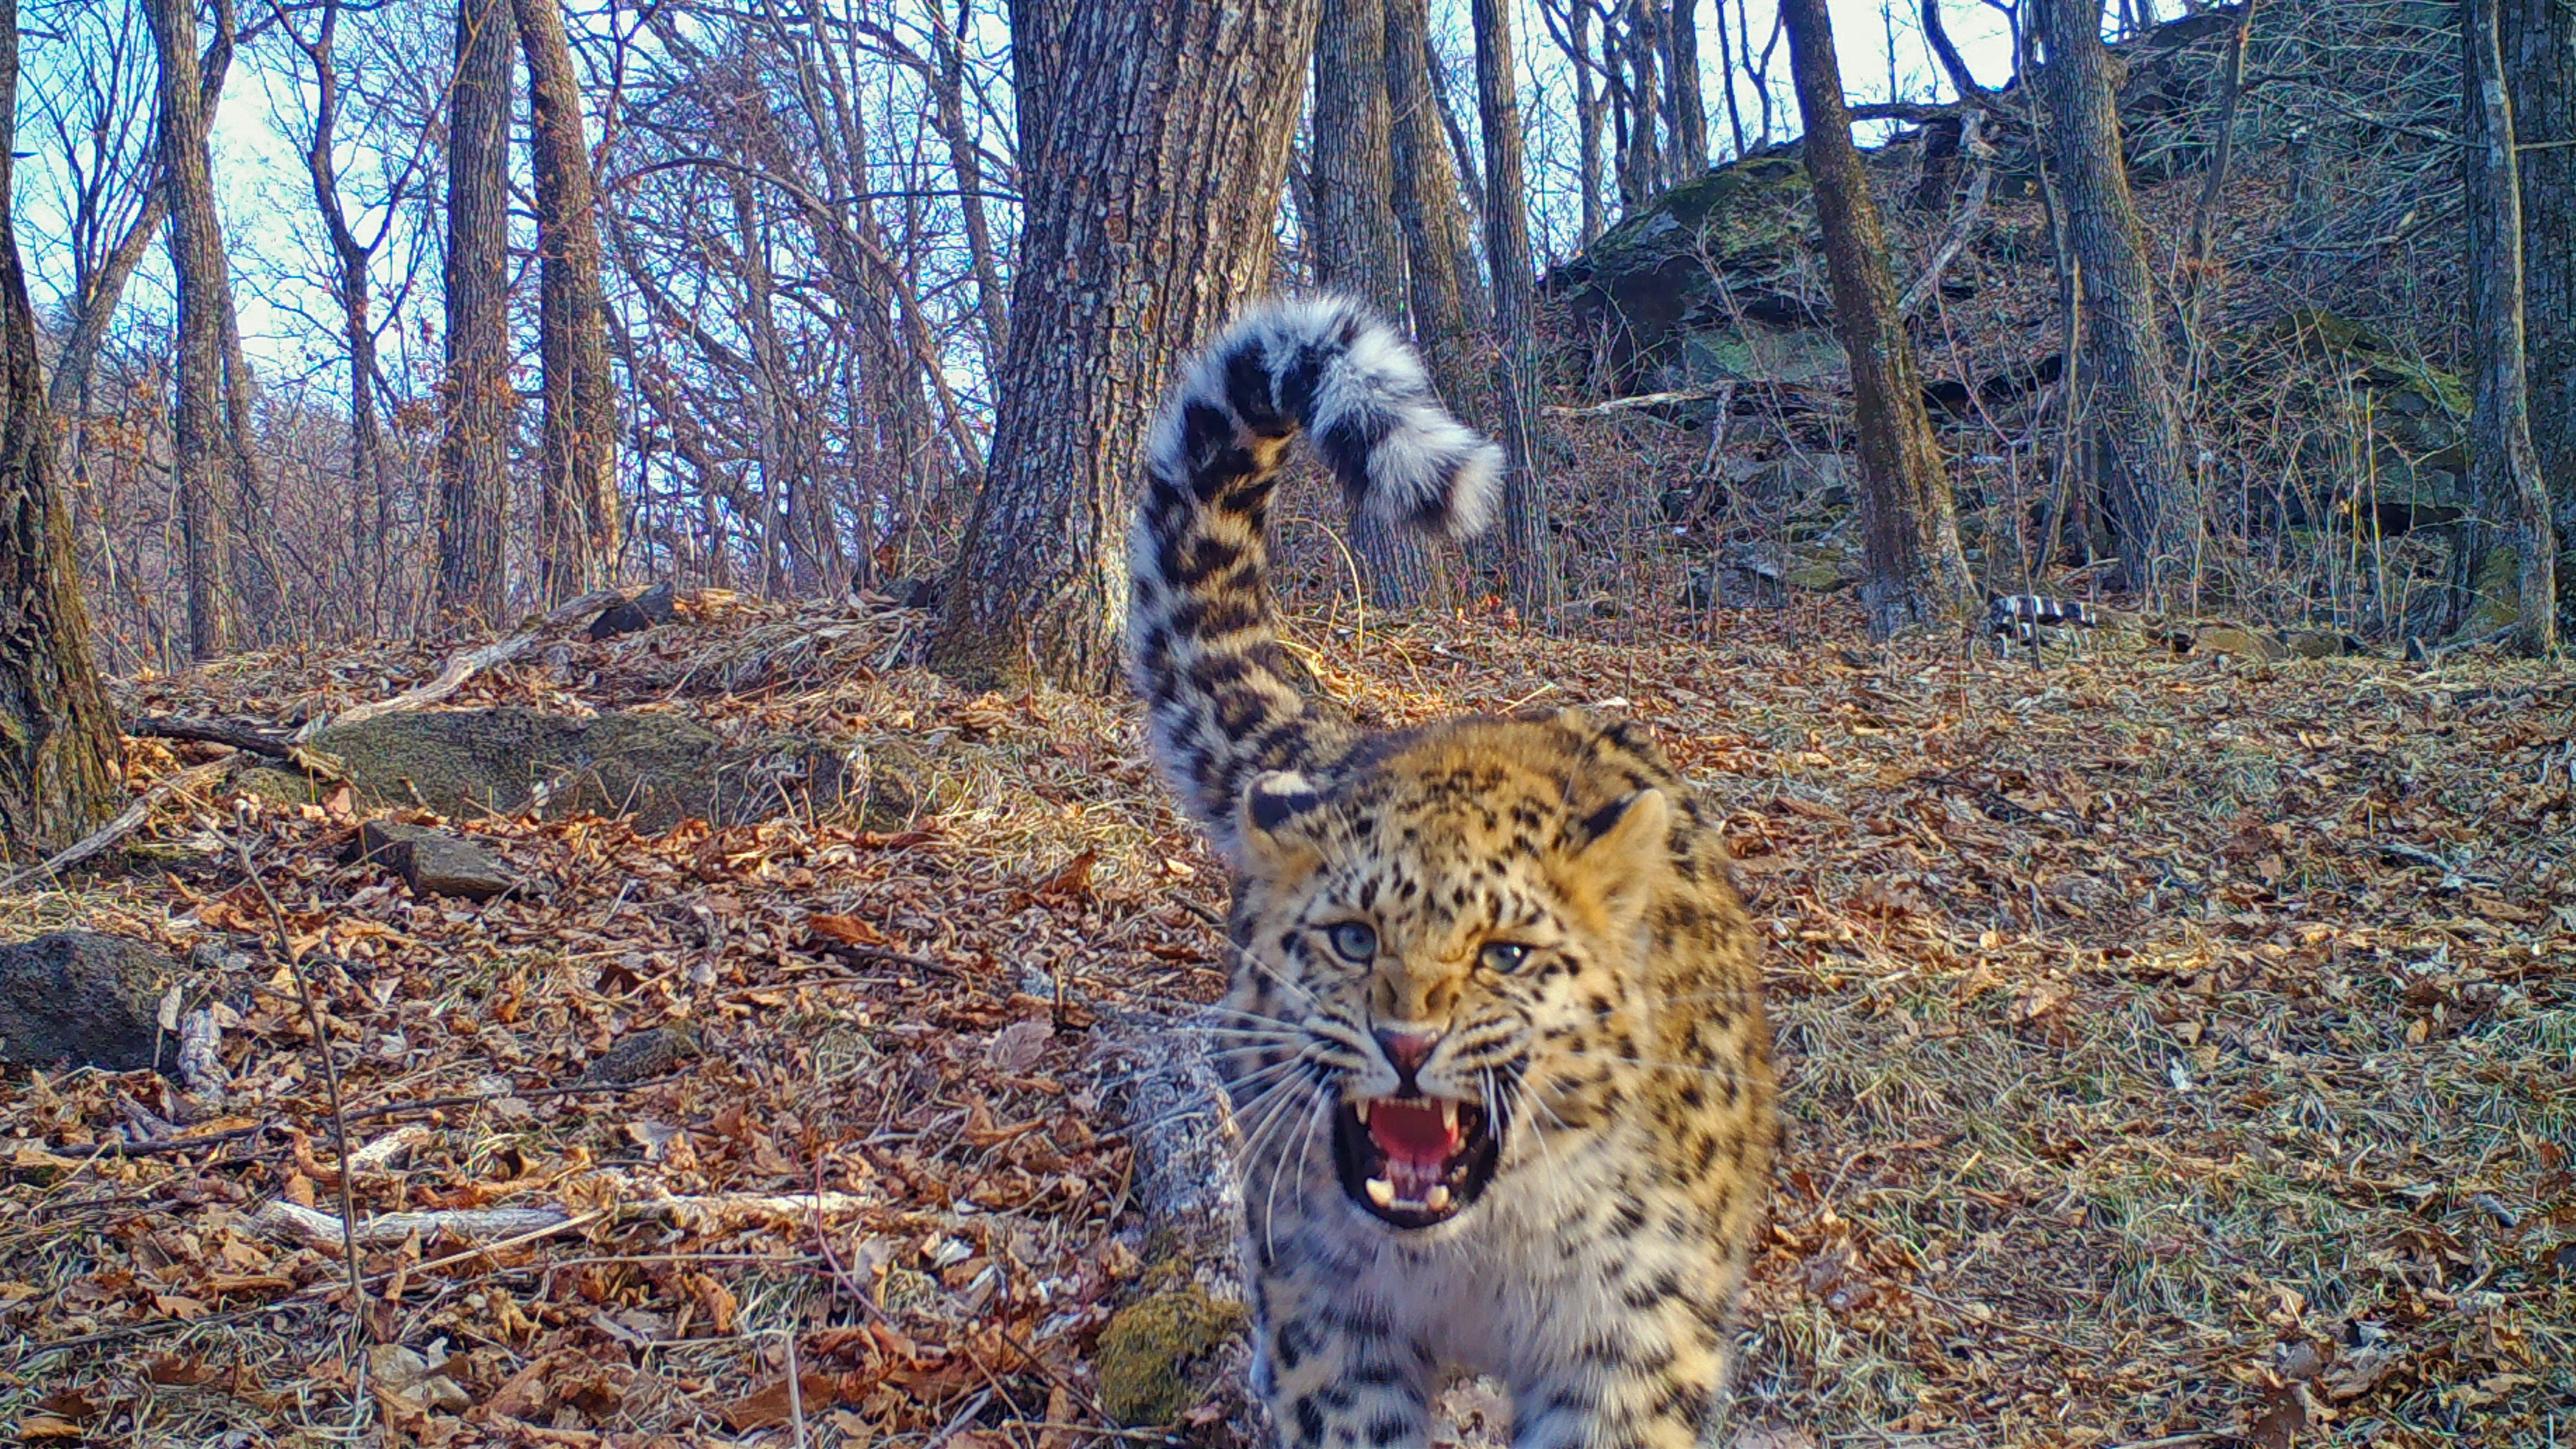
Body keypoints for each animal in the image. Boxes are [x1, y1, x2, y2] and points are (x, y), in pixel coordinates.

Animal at [1128, 293, 1772, 1443]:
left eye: (1506, 954)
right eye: (1351, 938)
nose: (1406, 1044)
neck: (1478, 1253)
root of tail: (1350, 743)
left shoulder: (1628, 1349)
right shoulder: (1325, 1329)